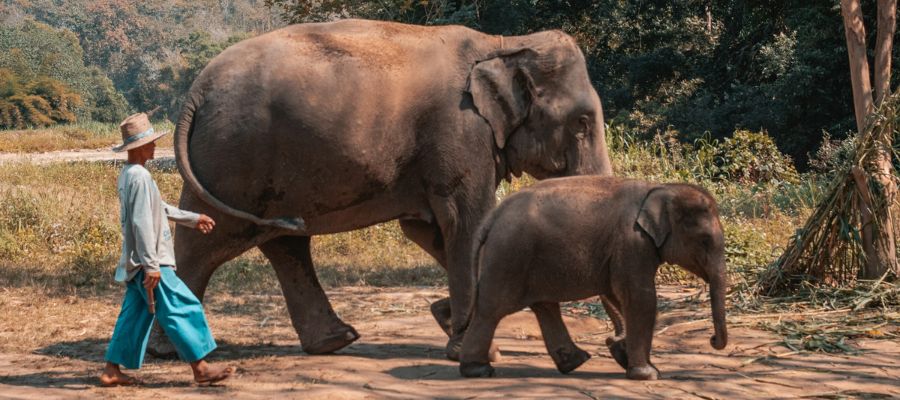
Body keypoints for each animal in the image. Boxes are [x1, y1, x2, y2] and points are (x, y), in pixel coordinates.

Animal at [153, 18, 612, 358]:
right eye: (582, 123)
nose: (612, 346)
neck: (504, 44)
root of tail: (195, 93)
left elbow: (428, 229)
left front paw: (449, 321)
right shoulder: (459, 133)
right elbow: (466, 223)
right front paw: (469, 344)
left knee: (283, 241)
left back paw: (335, 341)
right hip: (234, 158)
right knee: (207, 241)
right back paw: (171, 352)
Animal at [460, 177, 728, 380]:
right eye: (705, 240)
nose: (712, 339)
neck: (660, 188)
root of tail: (492, 217)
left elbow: (618, 295)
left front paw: (622, 354)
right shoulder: (632, 243)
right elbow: (640, 298)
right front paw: (648, 374)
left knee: (544, 306)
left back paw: (575, 362)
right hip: (509, 256)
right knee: (491, 310)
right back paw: (478, 370)